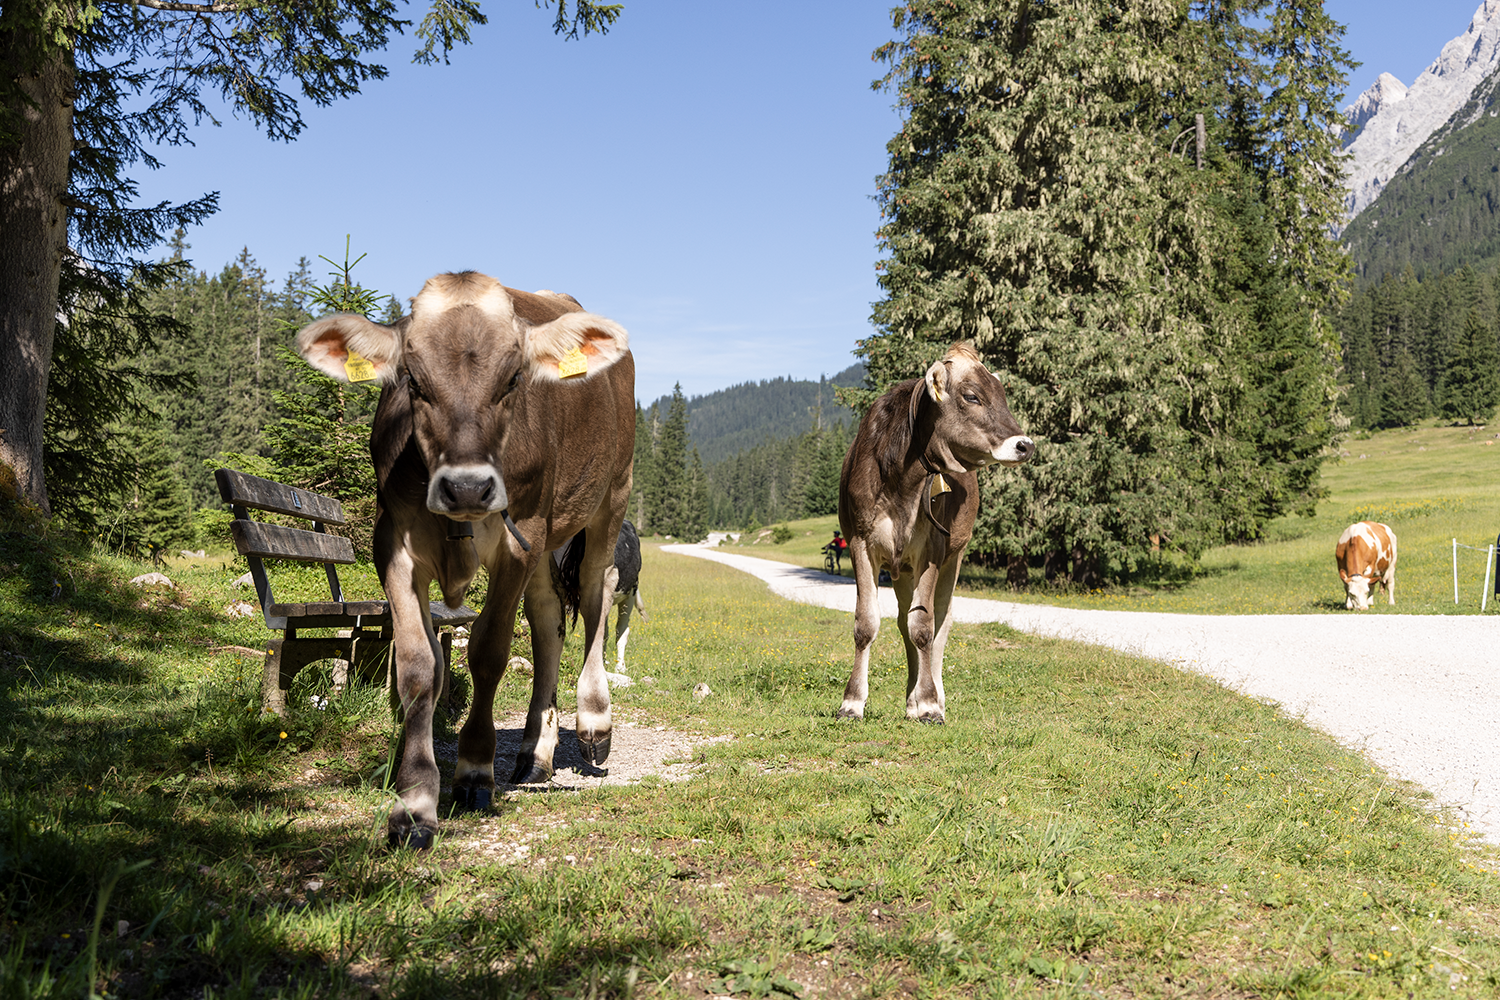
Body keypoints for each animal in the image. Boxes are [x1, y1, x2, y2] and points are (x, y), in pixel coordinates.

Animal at [296, 271, 634, 849]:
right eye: (412, 381)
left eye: (514, 378)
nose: (469, 487)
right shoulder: (394, 541)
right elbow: (418, 666)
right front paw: (414, 802)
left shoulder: (521, 537)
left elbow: (489, 652)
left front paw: (475, 773)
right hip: (548, 538)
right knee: (547, 618)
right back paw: (535, 753)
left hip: (610, 494)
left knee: (597, 589)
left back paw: (593, 721)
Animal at [837, 342, 1034, 724]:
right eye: (971, 396)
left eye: (1002, 394)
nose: (1025, 445)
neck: (900, 479)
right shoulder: (860, 543)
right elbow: (868, 623)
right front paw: (852, 702)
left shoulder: (933, 549)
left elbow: (925, 628)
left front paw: (928, 703)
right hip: (902, 568)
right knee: (904, 621)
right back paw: (910, 698)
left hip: (954, 555)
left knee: (940, 622)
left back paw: (930, 698)